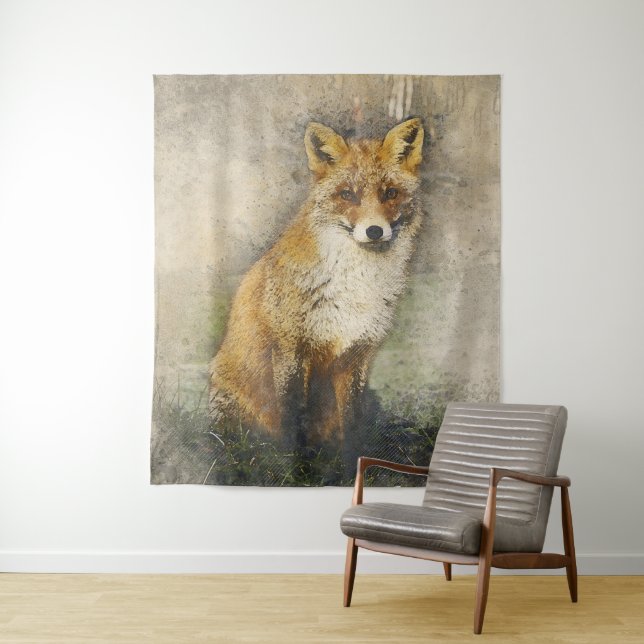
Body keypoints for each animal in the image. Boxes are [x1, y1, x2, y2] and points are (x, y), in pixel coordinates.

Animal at [209, 117, 425, 455]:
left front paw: (352, 461)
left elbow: (352, 421)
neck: (355, 286)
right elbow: (293, 415)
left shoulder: (357, 355)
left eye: (390, 192)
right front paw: (296, 464)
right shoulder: (290, 349)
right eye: (347, 195)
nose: (374, 231)